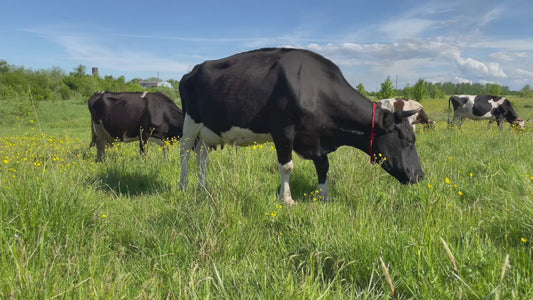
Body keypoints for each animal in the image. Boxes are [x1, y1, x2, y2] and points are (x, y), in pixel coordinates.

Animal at [179, 48, 424, 205]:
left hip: (208, 131)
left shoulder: (317, 136)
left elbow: (323, 166)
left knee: (202, 157)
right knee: (185, 153)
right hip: (190, 122)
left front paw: (325, 196)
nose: (420, 176)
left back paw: (203, 186)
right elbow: (287, 167)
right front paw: (286, 199)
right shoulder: (283, 130)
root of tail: (191, 71)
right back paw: (183, 186)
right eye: (408, 141)